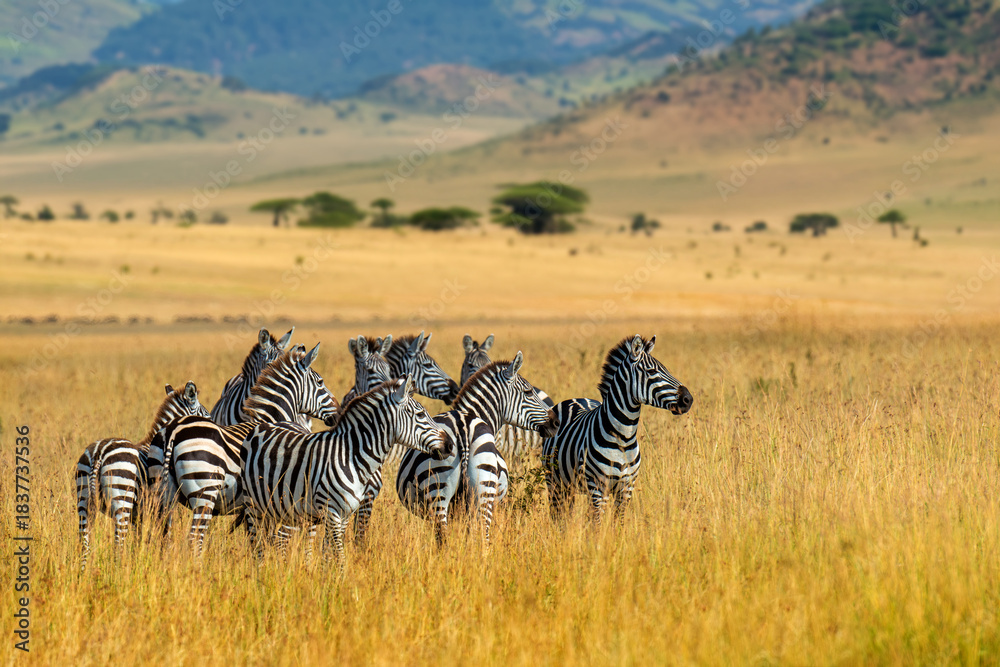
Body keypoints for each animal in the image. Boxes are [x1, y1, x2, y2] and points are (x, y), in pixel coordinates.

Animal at [76, 381, 208, 570]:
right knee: (118, 545)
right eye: (206, 415)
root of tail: (99, 453)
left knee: (84, 544)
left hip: (83, 501)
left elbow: (139, 541)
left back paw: (83, 572)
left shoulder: (138, 515)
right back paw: (119, 572)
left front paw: (140, 561)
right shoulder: (165, 505)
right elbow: (164, 537)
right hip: (122, 501)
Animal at [149, 343, 338, 554]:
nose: (338, 412)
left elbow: (257, 540)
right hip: (204, 493)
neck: (272, 420)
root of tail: (173, 431)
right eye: (320, 382)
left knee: (164, 537)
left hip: (163, 494)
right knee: (195, 539)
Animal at [239, 375, 453, 572]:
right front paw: (342, 585)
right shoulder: (331, 511)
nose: (450, 445)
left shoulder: (345, 514)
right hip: (253, 505)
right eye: (420, 414)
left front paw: (328, 581)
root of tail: (265, 424)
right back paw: (261, 576)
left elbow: (329, 554)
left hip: (277, 507)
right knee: (257, 546)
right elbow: (340, 558)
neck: (351, 457)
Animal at [396, 352, 559, 546]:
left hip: (442, 490)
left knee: (447, 538)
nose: (556, 422)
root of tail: (463, 426)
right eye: (528, 392)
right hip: (480, 489)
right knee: (480, 537)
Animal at [541, 334, 693, 522]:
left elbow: (618, 524)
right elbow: (598, 525)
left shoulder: (626, 488)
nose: (688, 399)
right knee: (558, 516)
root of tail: (575, 399)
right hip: (555, 482)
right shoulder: (598, 488)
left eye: (666, 369)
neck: (624, 438)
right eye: (651, 372)